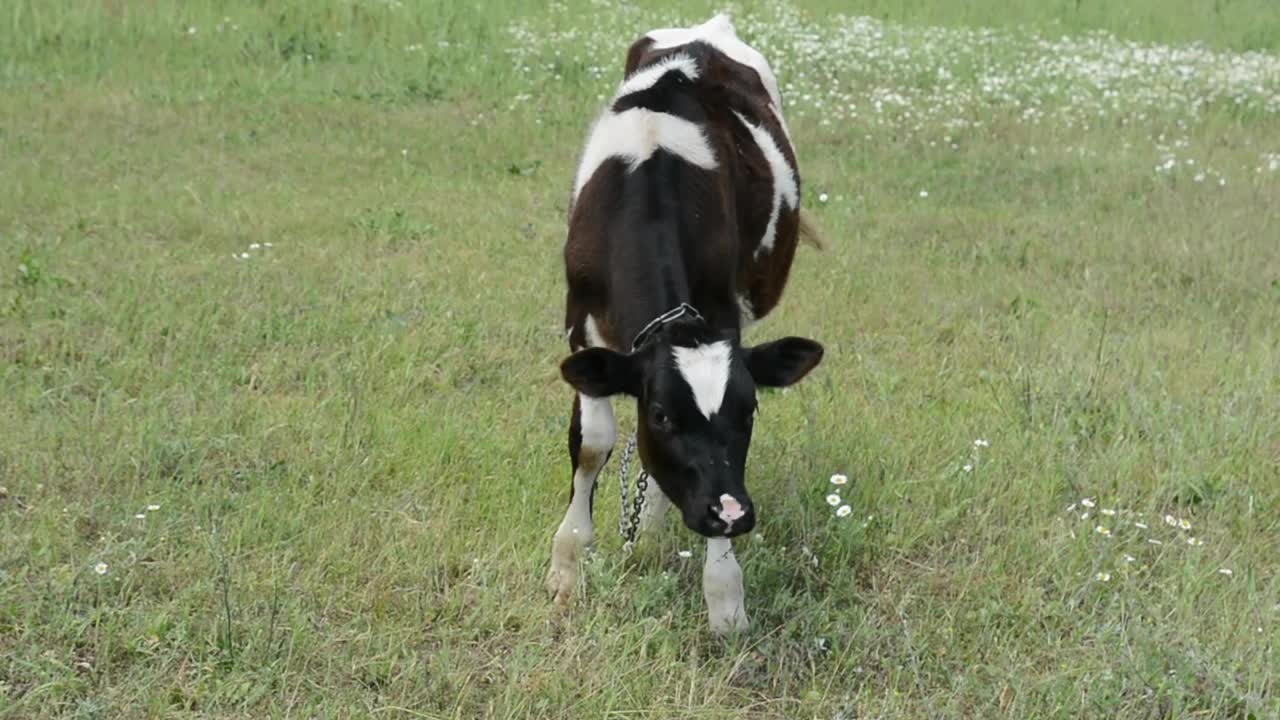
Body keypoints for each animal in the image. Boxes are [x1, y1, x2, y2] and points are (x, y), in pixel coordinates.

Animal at [540, 15, 819, 632]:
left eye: (750, 409)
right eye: (663, 415)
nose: (731, 514)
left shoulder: (723, 313)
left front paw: (726, 599)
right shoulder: (580, 323)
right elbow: (593, 444)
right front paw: (568, 566)